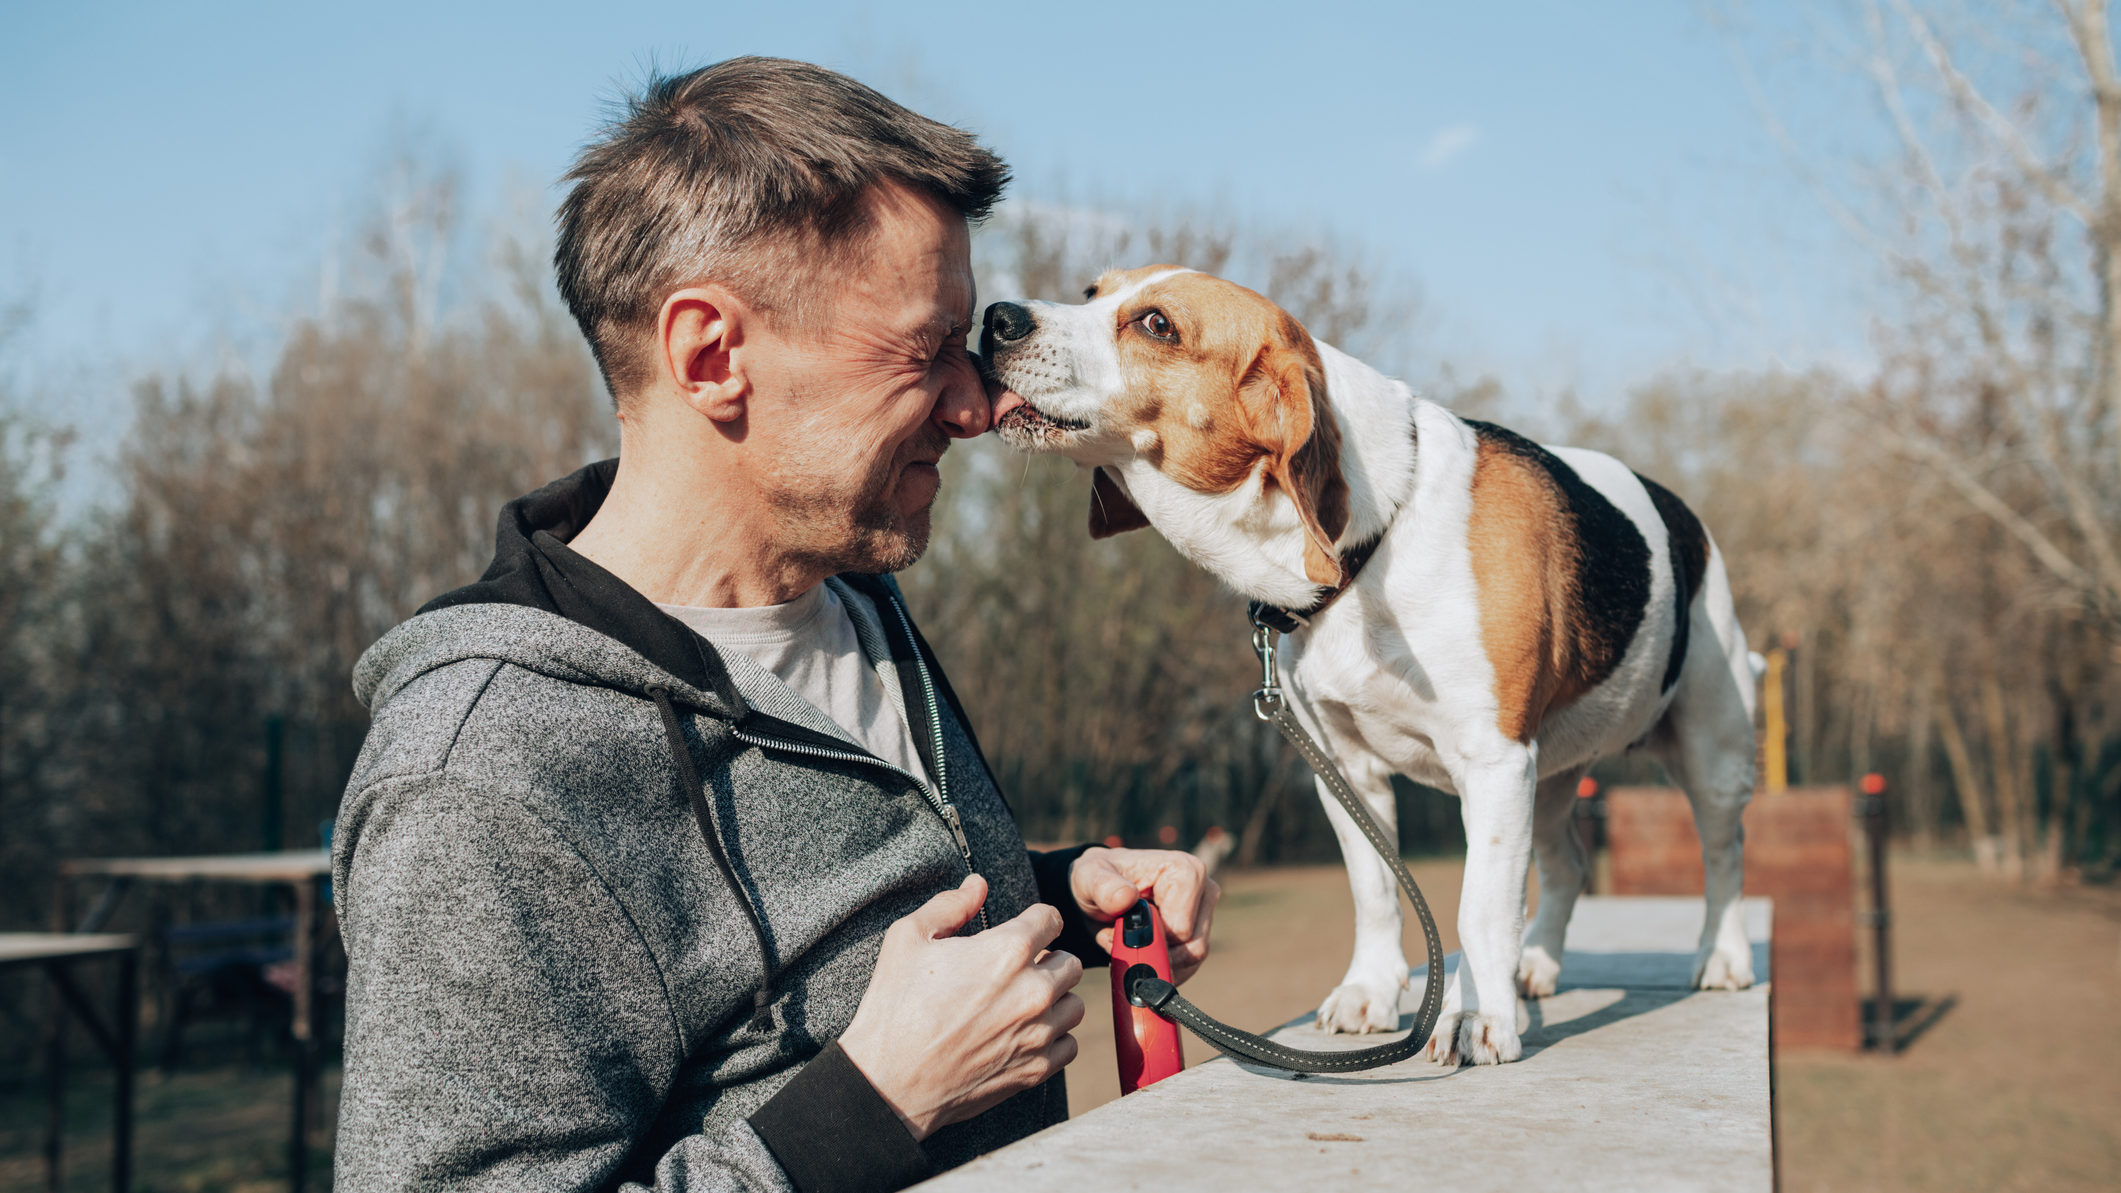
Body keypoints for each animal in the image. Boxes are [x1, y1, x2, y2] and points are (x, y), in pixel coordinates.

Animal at [979, 267, 1756, 1057]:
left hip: (1708, 751)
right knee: (1565, 863)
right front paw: (1373, 992)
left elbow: (1479, 908)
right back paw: (1536, 963)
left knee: (1723, 854)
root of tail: (1684, 516)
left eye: (1156, 325)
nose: (996, 318)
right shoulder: (1343, 765)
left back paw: (1718, 957)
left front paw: (1479, 1014)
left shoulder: (1493, 760)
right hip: (1553, 774)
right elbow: (1375, 890)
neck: (1374, 539)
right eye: (1091, 291)